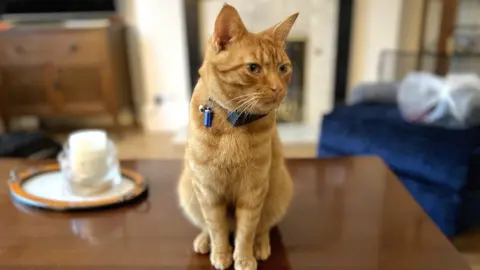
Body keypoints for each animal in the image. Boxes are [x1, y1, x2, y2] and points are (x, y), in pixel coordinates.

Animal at [178, 4, 298, 270]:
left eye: (283, 68)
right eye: (253, 68)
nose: (278, 89)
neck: (233, 125)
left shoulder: (253, 191)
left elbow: (246, 232)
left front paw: (243, 258)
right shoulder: (208, 192)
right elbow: (217, 229)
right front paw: (221, 254)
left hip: (277, 191)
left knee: (263, 227)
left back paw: (261, 246)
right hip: (189, 192)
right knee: (207, 227)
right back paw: (204, 241)